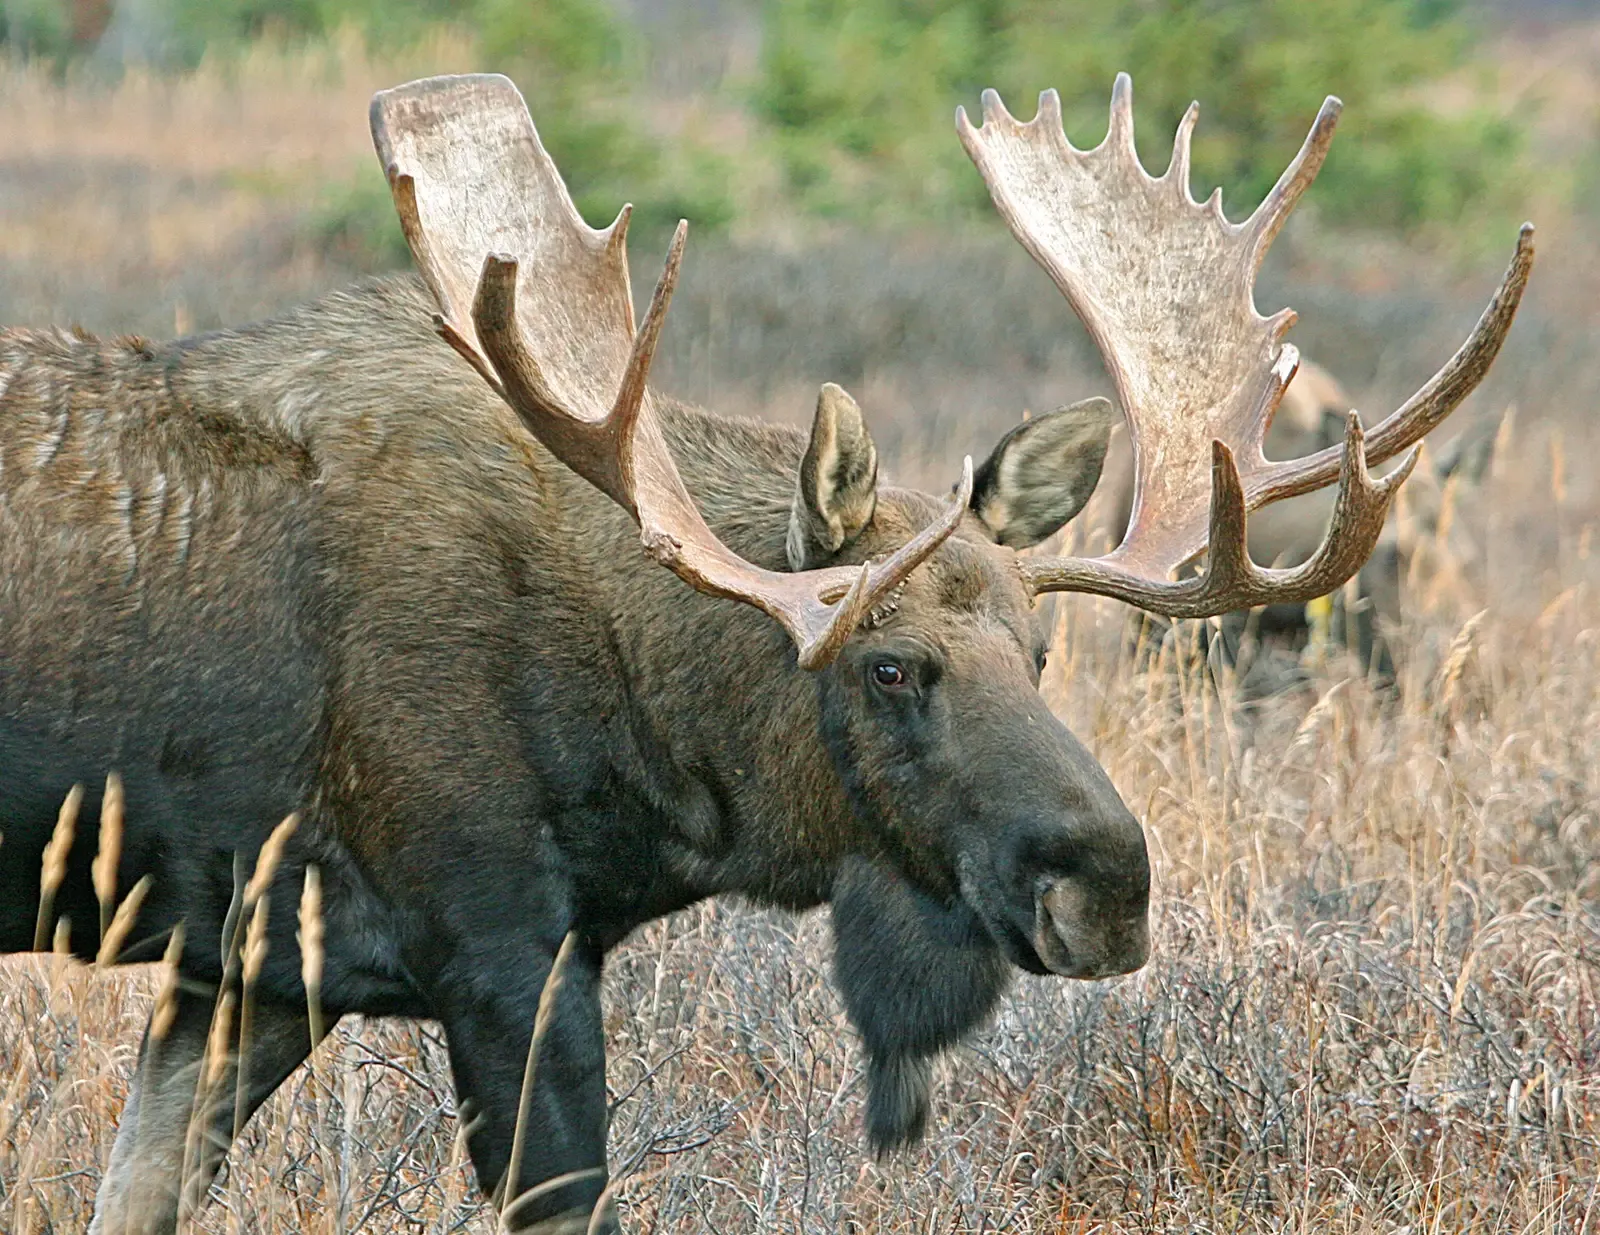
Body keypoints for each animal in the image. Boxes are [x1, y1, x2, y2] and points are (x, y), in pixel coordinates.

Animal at [0, 73, 1530, 1233]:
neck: (645, 749)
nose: (1109, 882)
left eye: (1041, 651)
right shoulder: (496, 946)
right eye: (888, 664)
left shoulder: (250, 966)